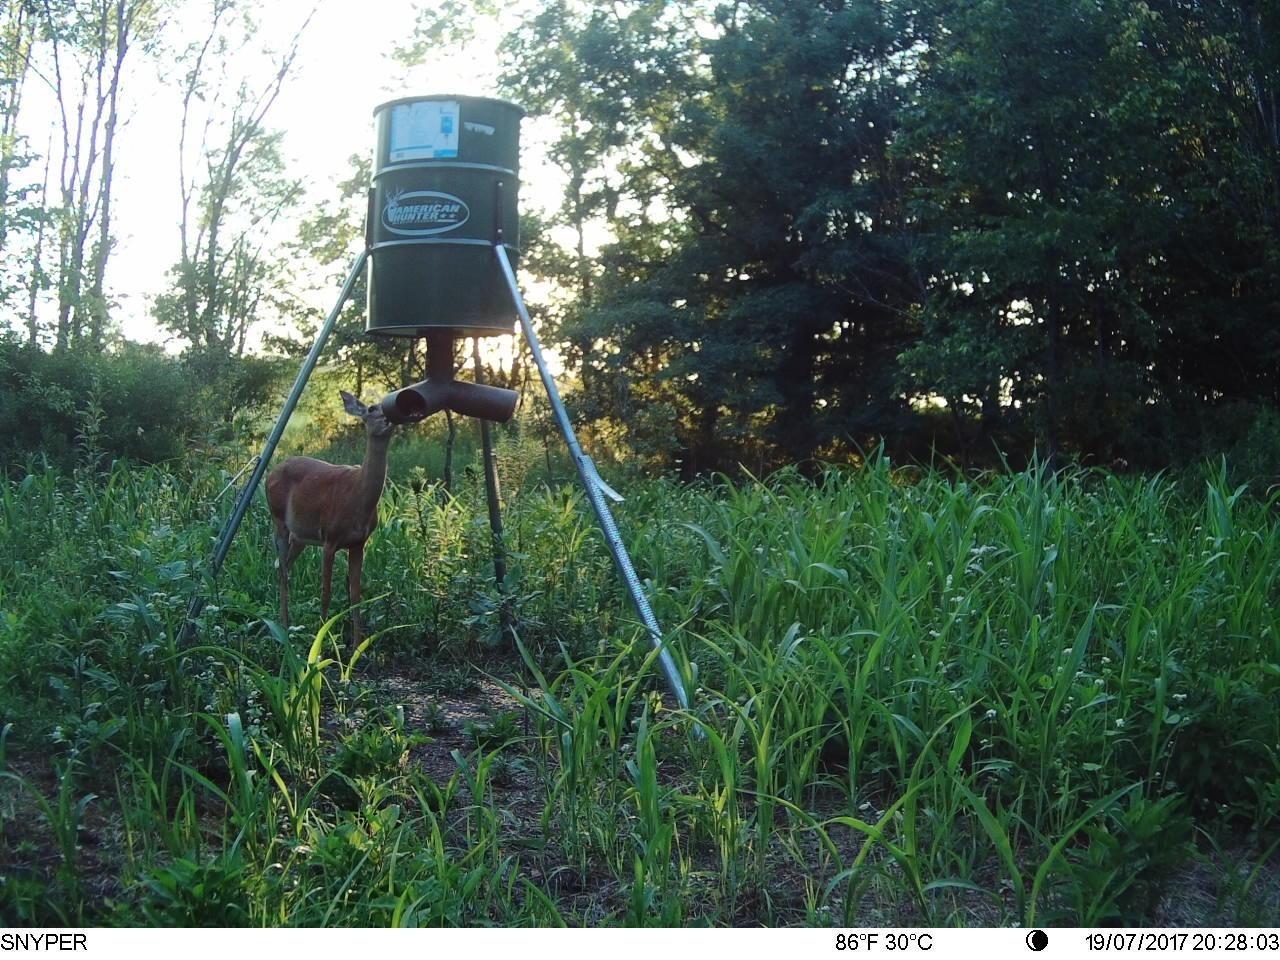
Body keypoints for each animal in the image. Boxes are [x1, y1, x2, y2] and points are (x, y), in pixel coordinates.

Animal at [267, 390, 395, 644]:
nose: (391, 418)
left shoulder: (359, 543)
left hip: (300, 537)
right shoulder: (329, 538)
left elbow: (356, 596)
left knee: (282, 567)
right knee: (283, 570)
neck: (358, 497)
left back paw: (287, 625)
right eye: (372, 409)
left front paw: (356, 645)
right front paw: (322, 639)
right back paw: (284, 628)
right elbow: (326, 593)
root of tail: (269, 474)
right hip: (278, 520)